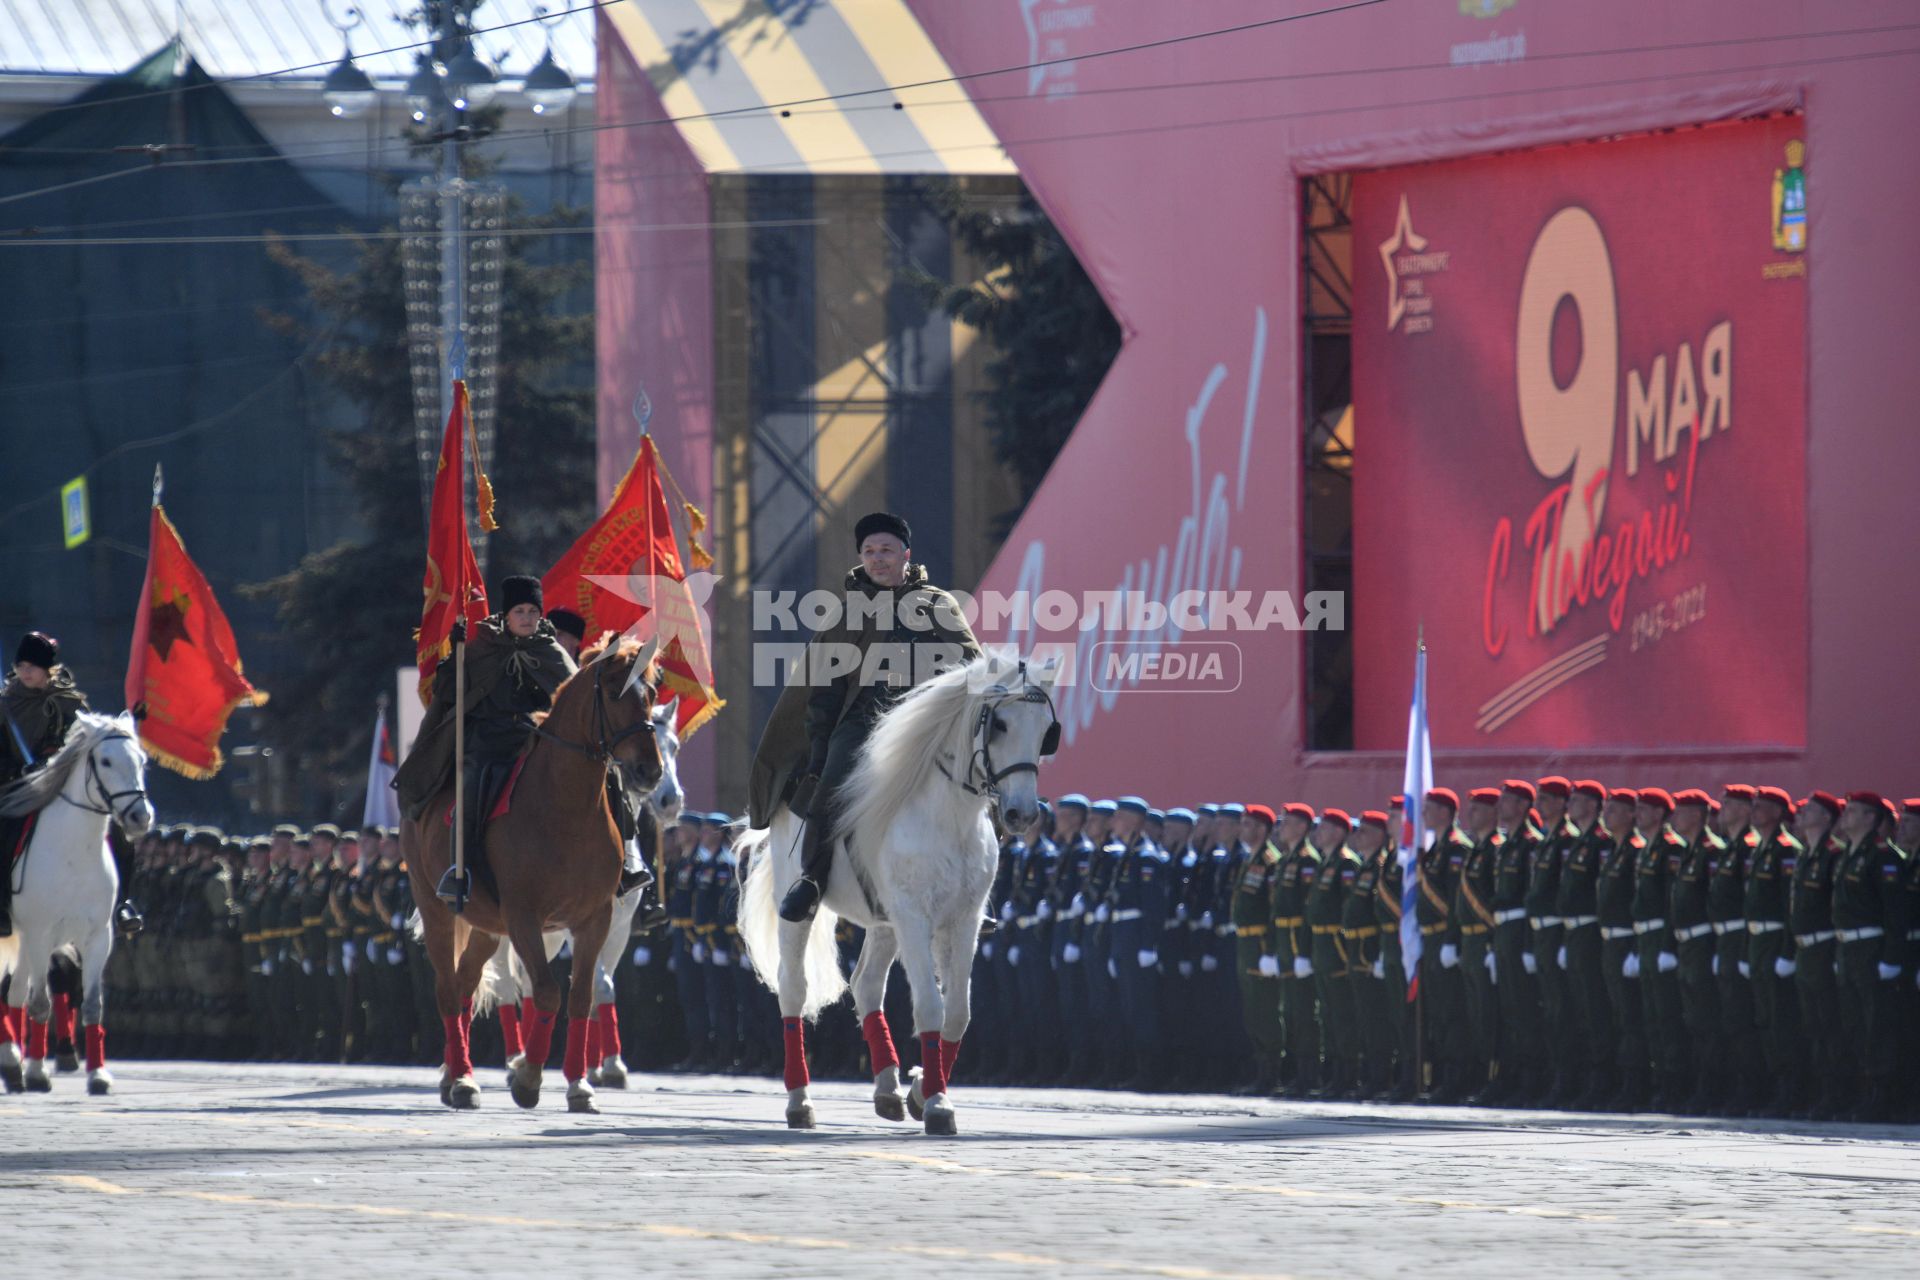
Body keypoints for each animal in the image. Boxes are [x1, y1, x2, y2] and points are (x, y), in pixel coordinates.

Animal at [0, 706, 153, 1097]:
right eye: (105, 760)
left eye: (141, 760)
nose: (140, 817)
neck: (74, 852)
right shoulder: (40, 934)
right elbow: (40, 1003)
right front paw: (37, 1073)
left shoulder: (98, 937)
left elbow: (93, 1005)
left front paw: (98, 1075)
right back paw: (15, 1063)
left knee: (14, 993)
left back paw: (12, 1064)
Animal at [401, 633, 664, 1113]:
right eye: (613, 693)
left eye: (651, 693)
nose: (649, 771)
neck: (566, 807)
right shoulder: (525, 918)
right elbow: (545, 991)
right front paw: (528, 1079)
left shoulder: (595, 920)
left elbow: (580, 996)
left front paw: (579, 1085)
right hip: (437, 909)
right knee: (447, 989)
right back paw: (462, 1079)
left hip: (486, 925)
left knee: (465, 984)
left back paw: (455, 1075)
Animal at [483, 694, 687, 1105]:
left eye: (674, 746)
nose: (669, 800)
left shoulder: (614, 927)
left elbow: (598, 986)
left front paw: (602, 1067)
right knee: (505, 983)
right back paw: (514, 1061)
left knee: (529, 982)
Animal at [737, 656, 1067, 1136]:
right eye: (1000, 724)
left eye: (1046, 731)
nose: (1022, 814)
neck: (950, 817)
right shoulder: (915, 917)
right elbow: (930, 1007)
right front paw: (937, 1105)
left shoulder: (963, 921)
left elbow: (958, 1013)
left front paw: (922, 1090)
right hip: (800, 906)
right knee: (793, 990)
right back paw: (800, 1099)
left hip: (884, 921)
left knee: (867, 985)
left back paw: (888, 1089)